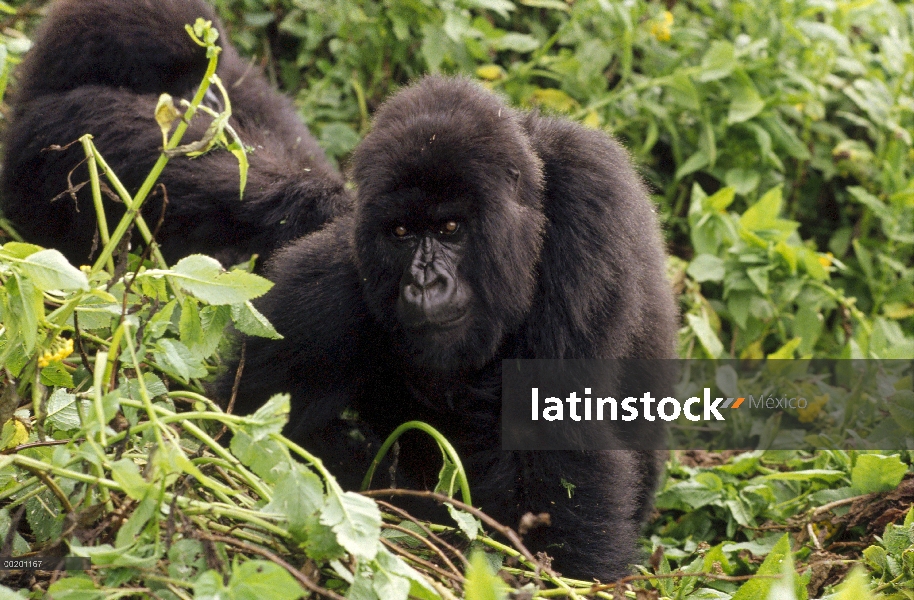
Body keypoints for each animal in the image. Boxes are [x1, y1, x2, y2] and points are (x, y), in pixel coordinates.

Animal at [0, 0, 350, 268]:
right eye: (179, 85)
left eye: (204, 78)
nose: (212, 102)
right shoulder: (75, 115)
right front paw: (319, 203)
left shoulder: (237, 78)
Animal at [230, 77, 676, 584]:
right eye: (401, 231)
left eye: (449, 227)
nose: (424, 283)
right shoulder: (331, 282)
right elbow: (241, 417)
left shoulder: (591, 205)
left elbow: (560, 434)